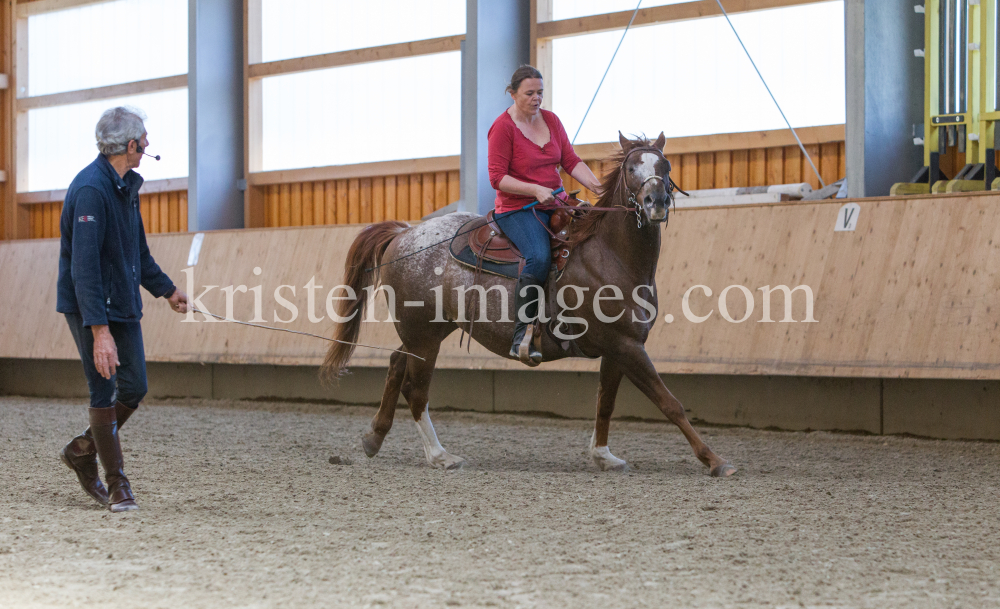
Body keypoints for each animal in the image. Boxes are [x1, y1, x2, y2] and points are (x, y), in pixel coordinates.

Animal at [324, 134, 740, 480]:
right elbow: (670, 403)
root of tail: (404, 233)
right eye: (631, 167)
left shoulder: (619, 348)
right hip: (424, 335)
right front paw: (715, 460)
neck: (610, 254)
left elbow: (605, 402)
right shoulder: (626, 346)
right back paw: (440, 456)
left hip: (427, 332)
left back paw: (374, 437)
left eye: (665, 166)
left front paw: (603, 455)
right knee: (415, 389)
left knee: (396, 364)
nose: (657, 202)